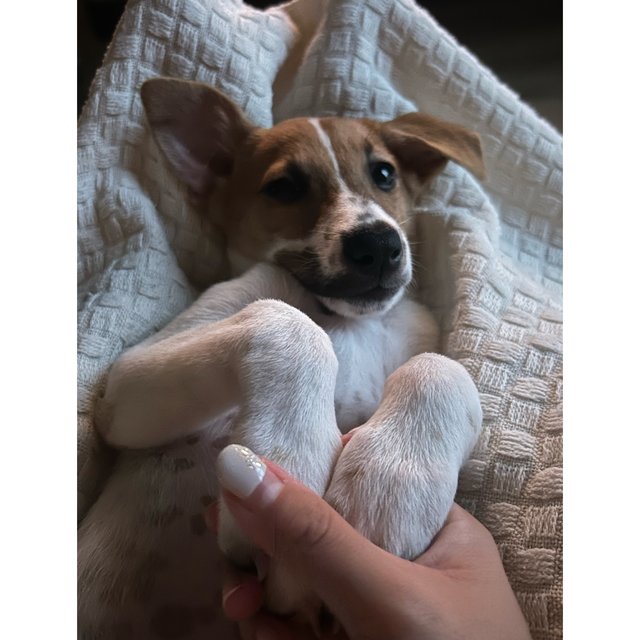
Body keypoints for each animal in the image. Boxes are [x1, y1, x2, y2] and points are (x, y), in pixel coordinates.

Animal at [92, 77, 484, 632]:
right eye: (284, 187)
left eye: (384, 173)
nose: (378, 245)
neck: (346, 320)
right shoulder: (126, 387)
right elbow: (286, 323)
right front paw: (288, 459)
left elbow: (442, 367)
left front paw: (392, 481)